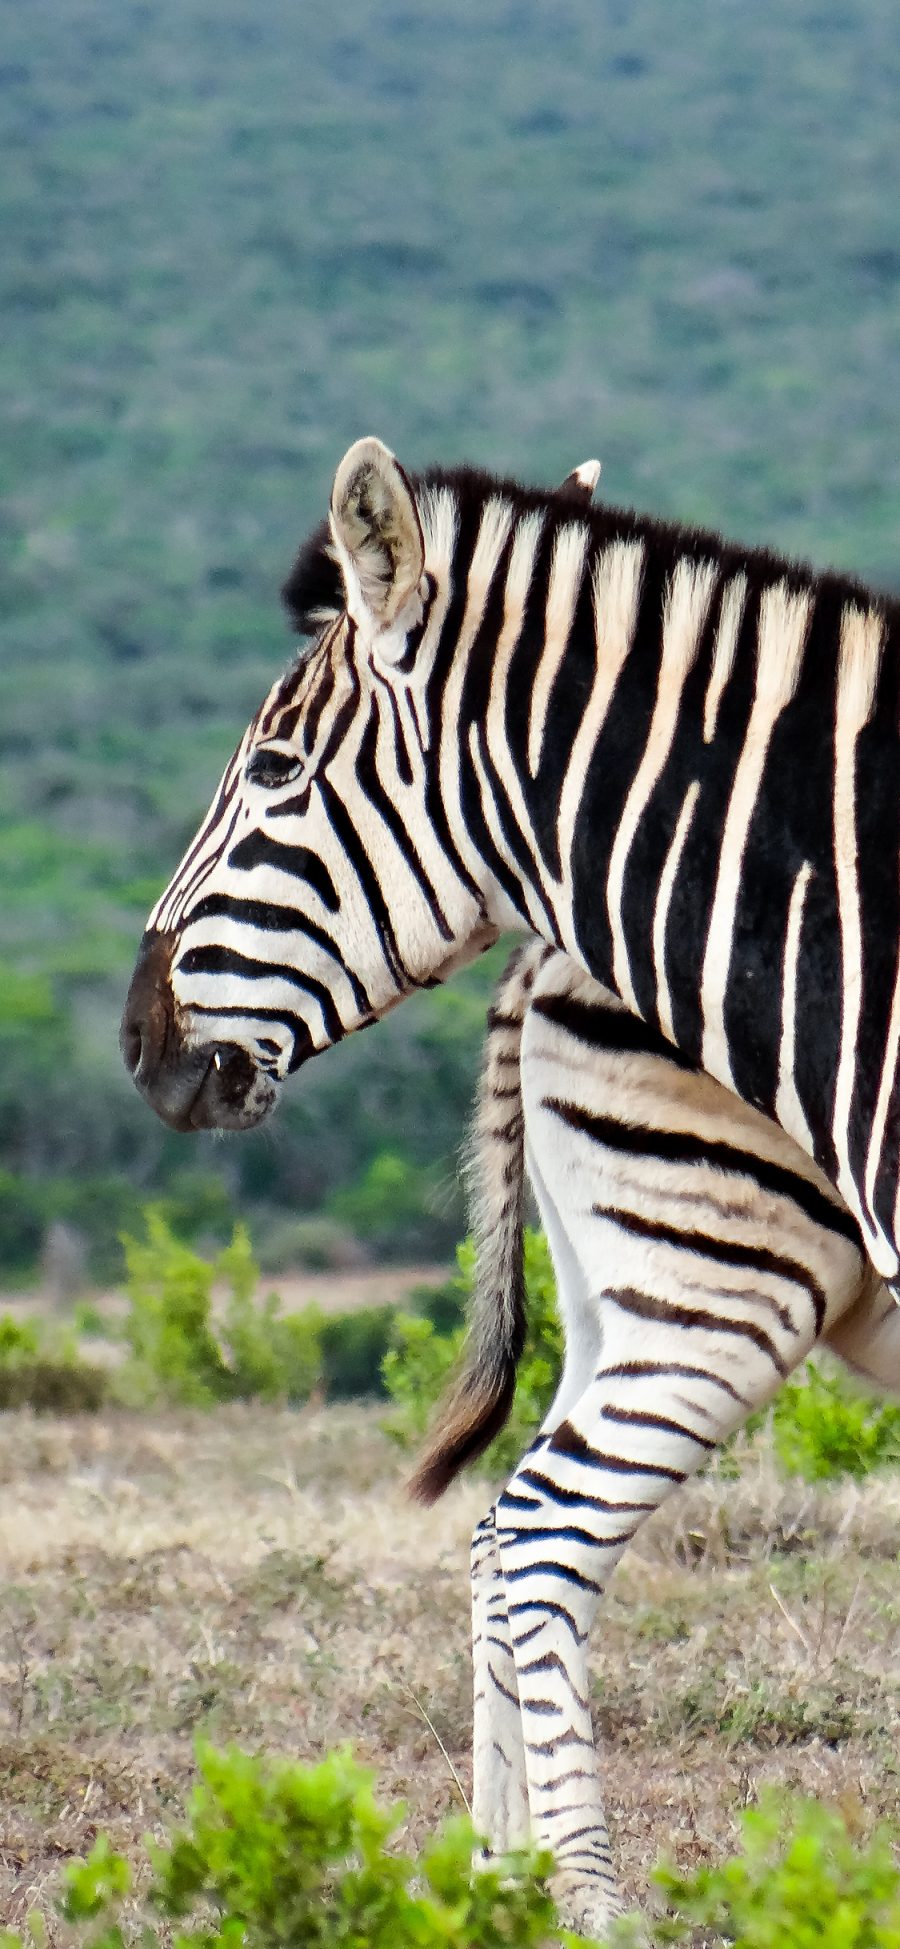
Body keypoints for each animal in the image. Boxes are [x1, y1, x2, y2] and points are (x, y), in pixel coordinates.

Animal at [411, 939, 896, 1917]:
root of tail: (542, 952)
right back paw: (593, 1900)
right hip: (720, 1273)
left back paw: (504, 1875)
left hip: (610, 1297)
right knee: (549, 1523)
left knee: (499, 1526)